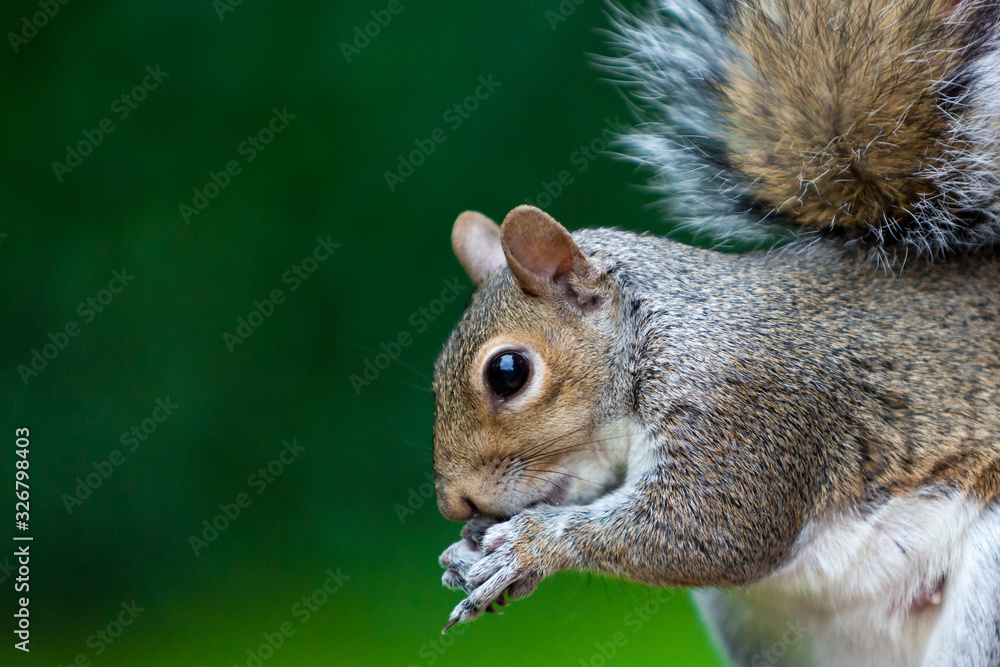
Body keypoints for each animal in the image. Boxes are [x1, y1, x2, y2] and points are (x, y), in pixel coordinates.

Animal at [432, 0, 1000, 664]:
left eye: (508, 373)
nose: (454, 503)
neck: (661, 332)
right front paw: (469, 551)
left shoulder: (748, 404)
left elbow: (710, 530)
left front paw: (530, 546)